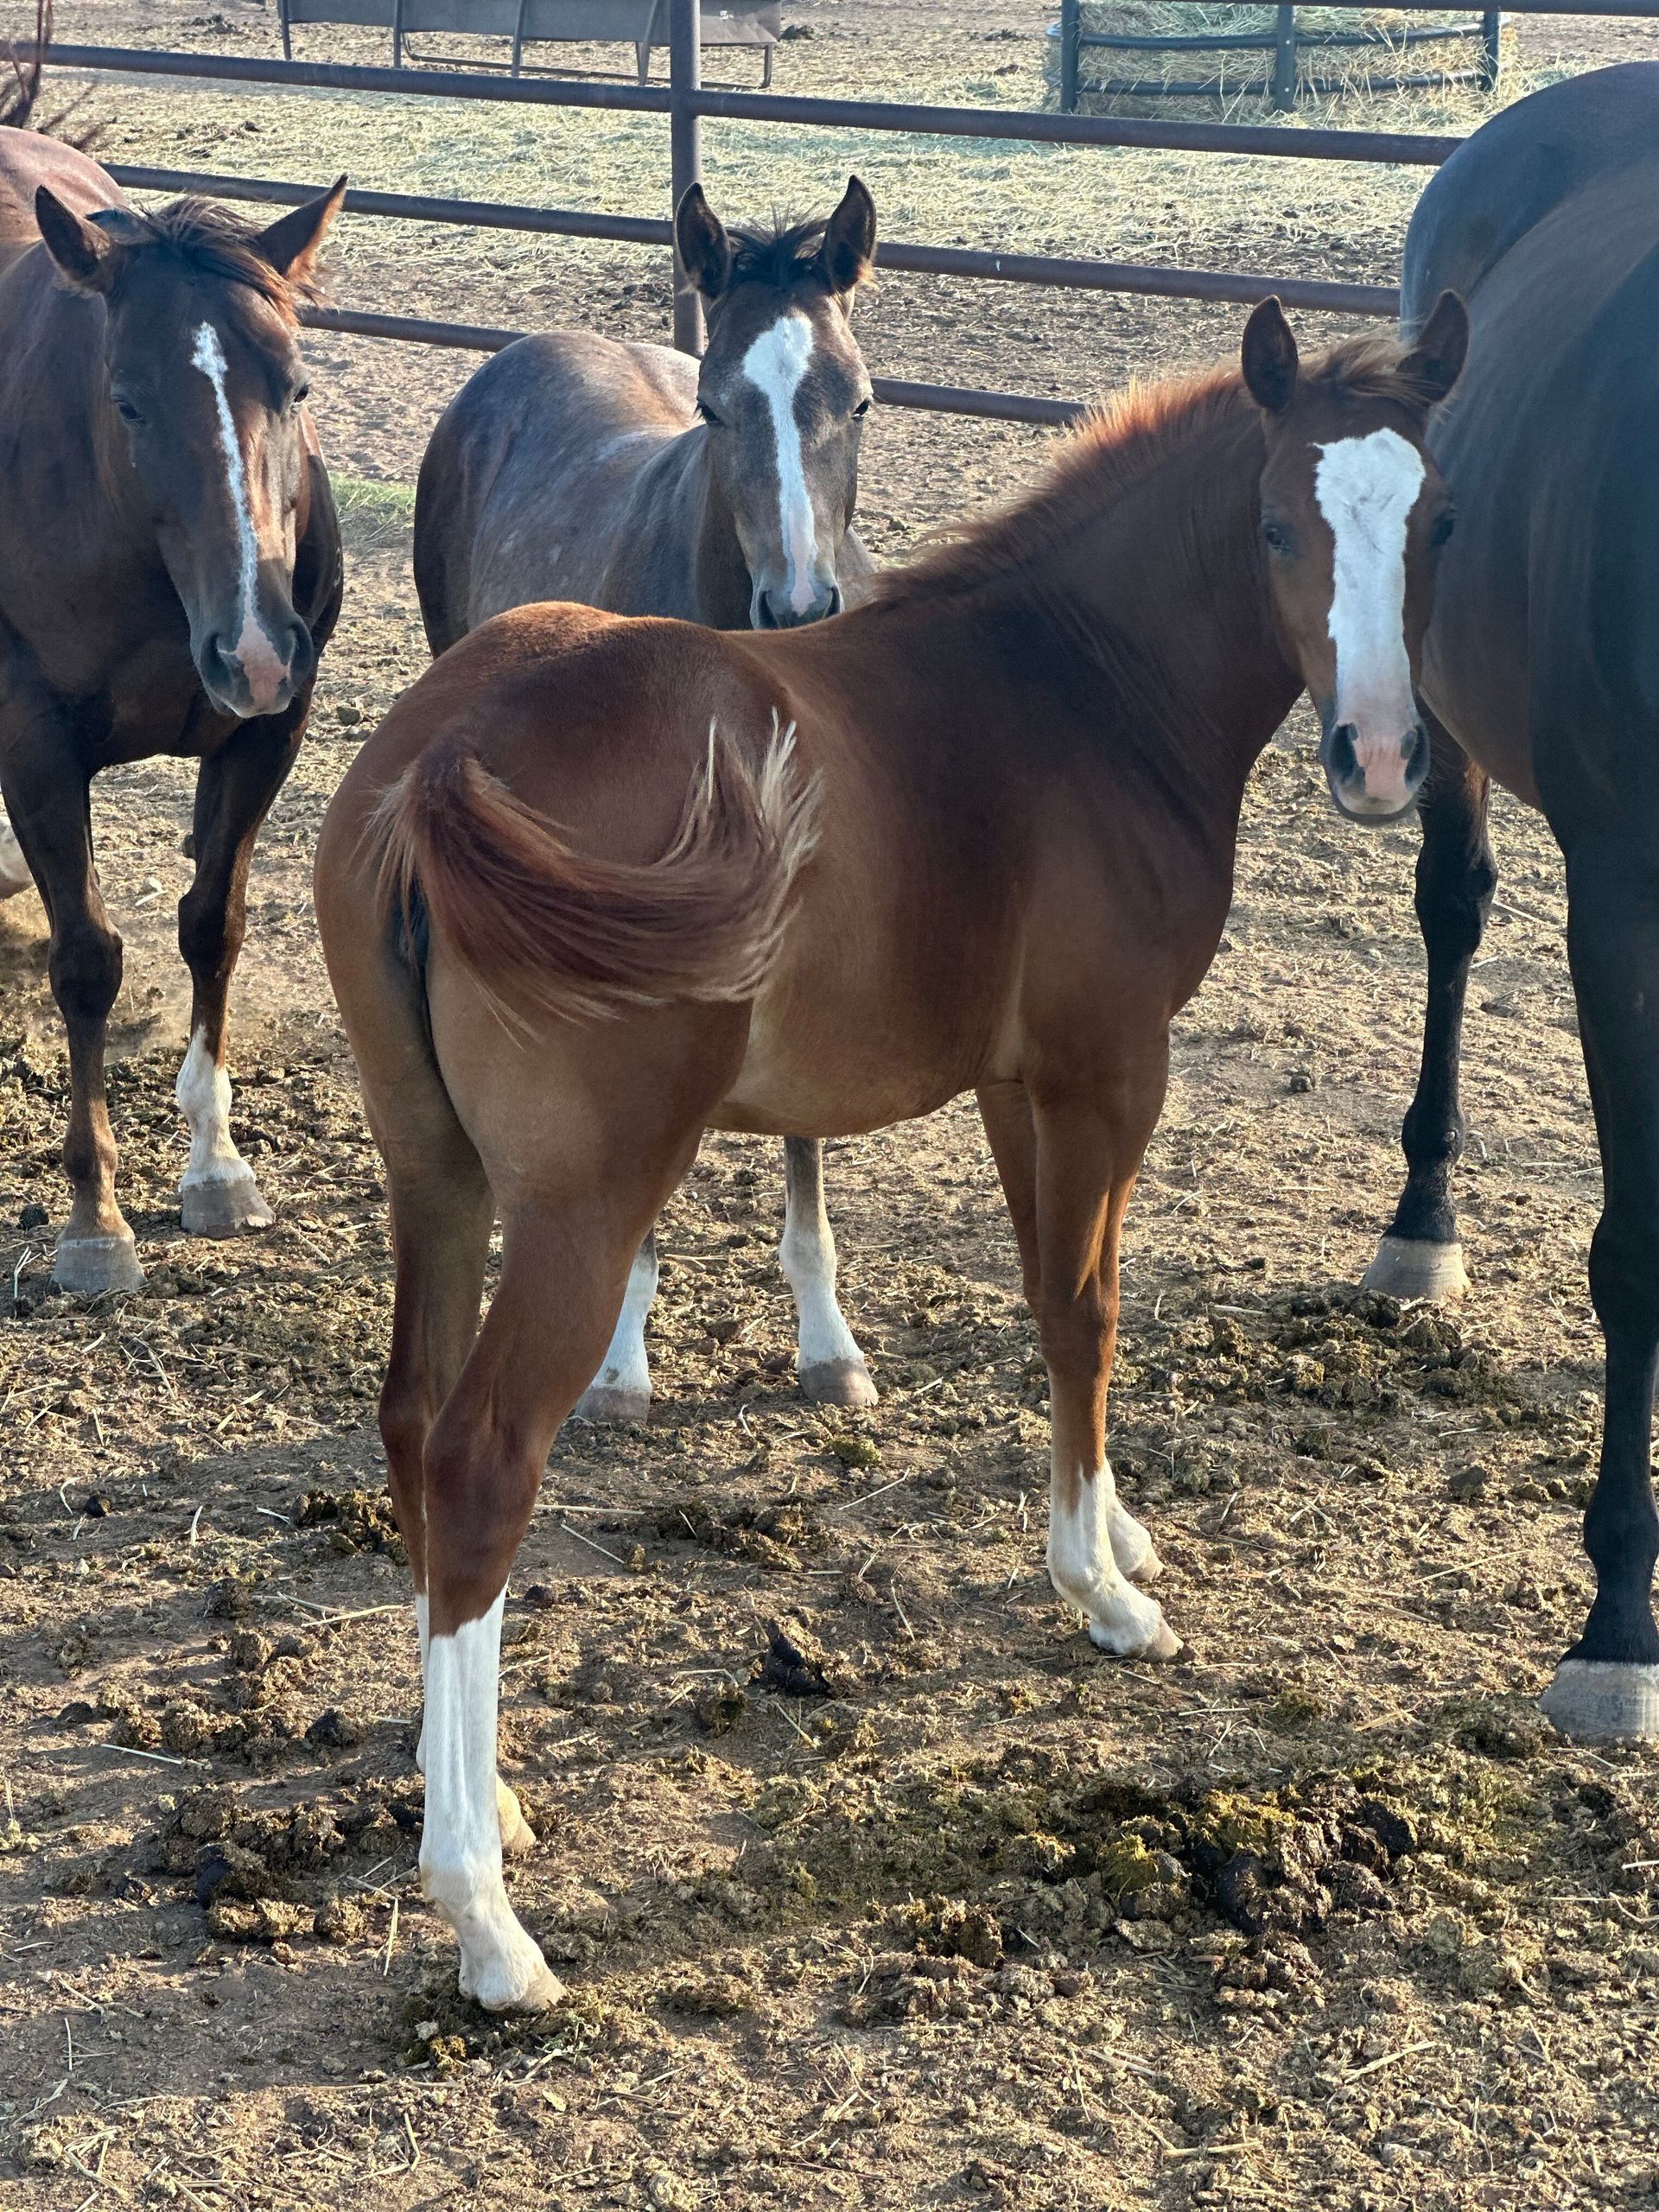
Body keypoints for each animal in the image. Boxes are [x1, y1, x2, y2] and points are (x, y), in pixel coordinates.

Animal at [0, 71, 345, 1294]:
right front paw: (94, 1215)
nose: (254, 644)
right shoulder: (32, 744)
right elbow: (86, 961)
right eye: (128, 400)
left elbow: (213, 924)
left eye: (296, 385)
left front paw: (215, 1163)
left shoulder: (265, 732)